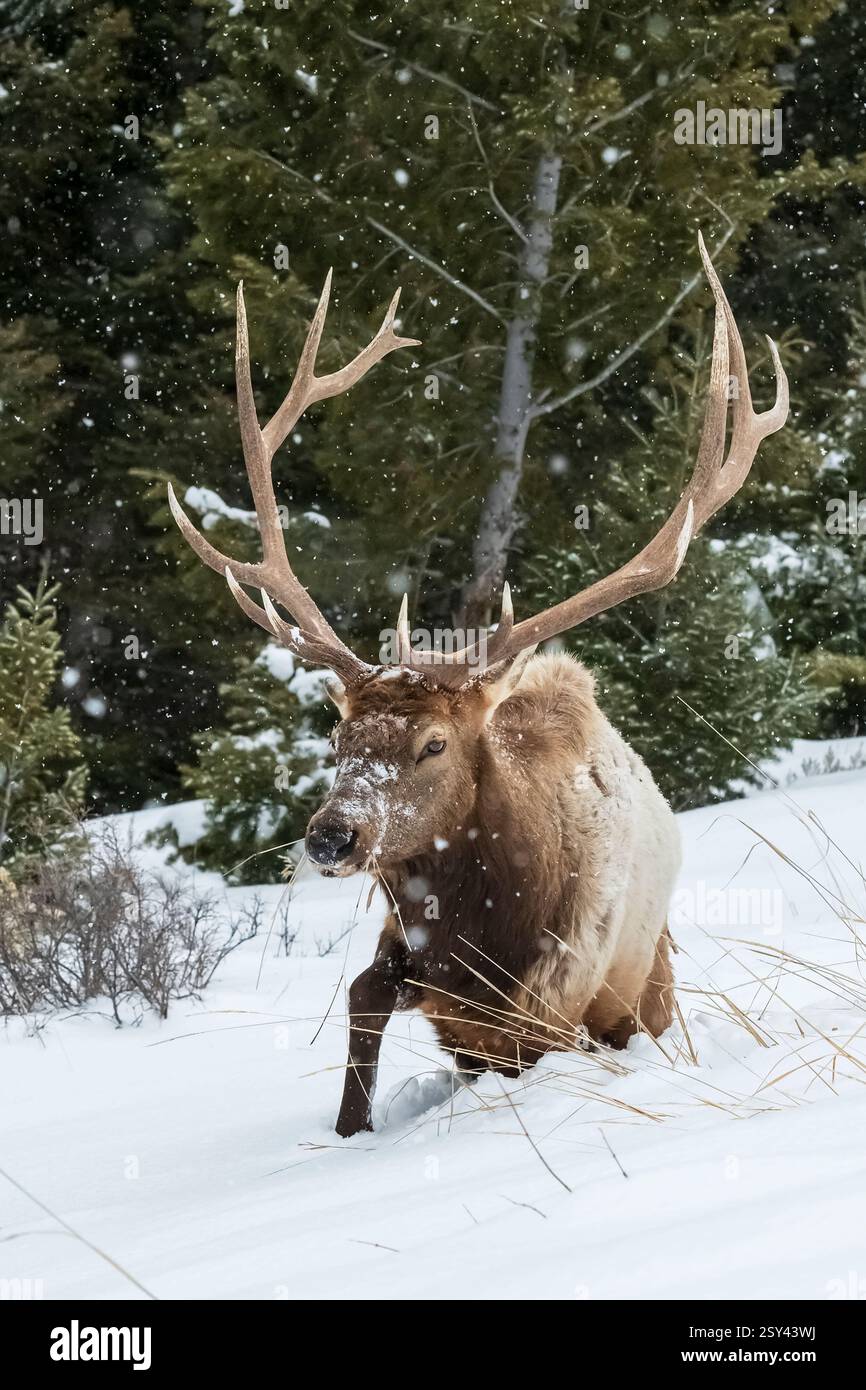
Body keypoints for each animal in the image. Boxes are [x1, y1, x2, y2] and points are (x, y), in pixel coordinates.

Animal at [168, 235, 788, 1137]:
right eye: (337, 736)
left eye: (434, 743)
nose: (332, 837)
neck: (480, 934)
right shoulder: (405, 963)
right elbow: (360, 1010)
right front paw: (349, 1129)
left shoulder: (552, 1010)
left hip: (650, 984)